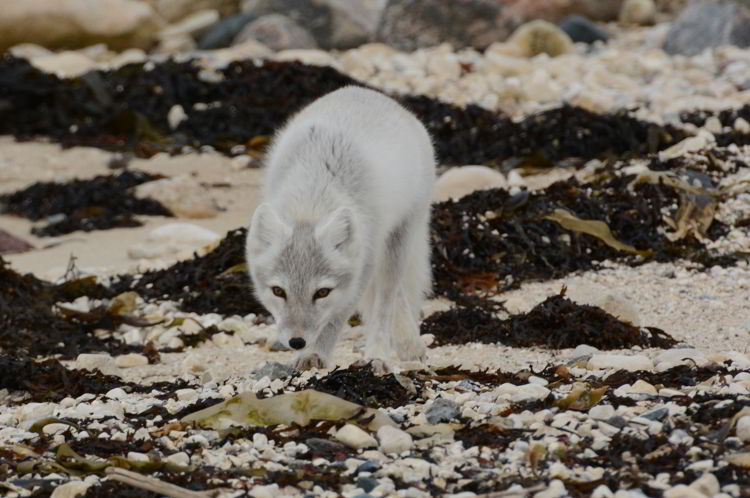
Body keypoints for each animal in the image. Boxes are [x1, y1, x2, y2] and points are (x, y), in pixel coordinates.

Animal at [247, 85, 434, 370]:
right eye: (278, 291)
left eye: (322, 292)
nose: (296, 342)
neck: (311, 201)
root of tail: (362, 90)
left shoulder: (361, 269)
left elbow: (335, 319)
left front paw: (315, 354)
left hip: (397, 243)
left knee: (387, 301)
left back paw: (380, 353)